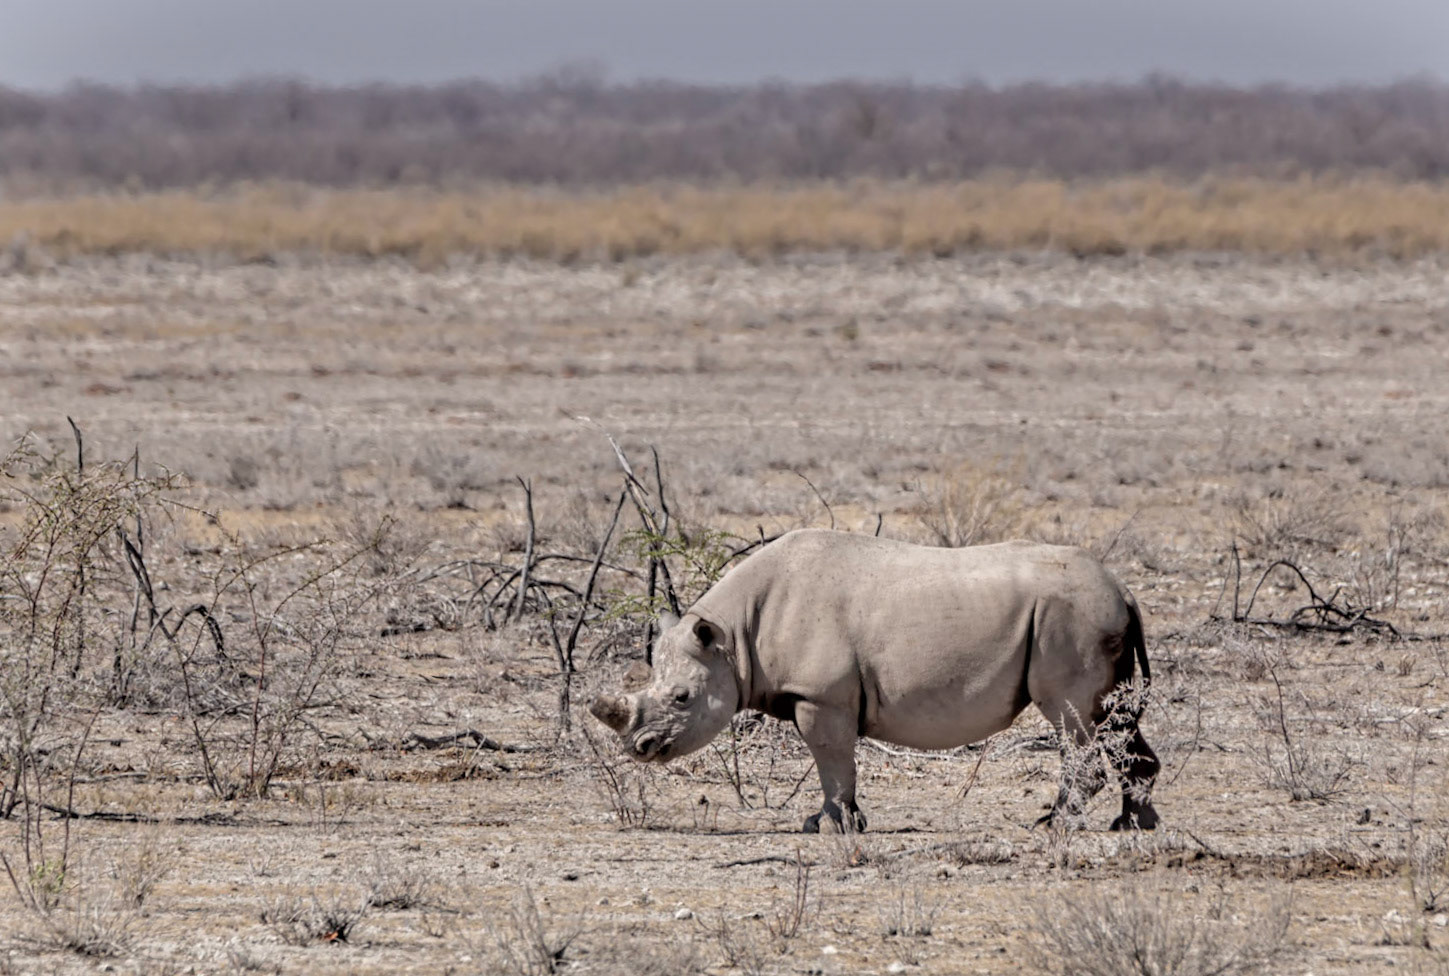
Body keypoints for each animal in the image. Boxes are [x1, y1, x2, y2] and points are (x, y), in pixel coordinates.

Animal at [590, 528, 1160, 833]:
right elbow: (838, 764)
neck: (732, 637)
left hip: (1072, 620)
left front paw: (829, 828)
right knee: (1116, 721)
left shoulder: (821, 696)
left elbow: (832, 760)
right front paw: (838, 823)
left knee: (1073, 719)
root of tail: (1124, 590)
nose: (639, 748)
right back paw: (1131, 825)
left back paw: (1053, 825)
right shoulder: (822, 696)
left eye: (682, 698)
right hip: (1091, 619)